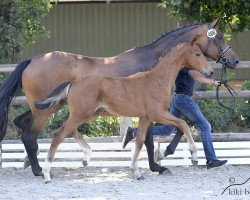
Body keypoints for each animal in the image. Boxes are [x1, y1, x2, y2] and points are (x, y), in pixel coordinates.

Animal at [0, 18, 239, 176]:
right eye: (218, 36)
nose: (234, 61)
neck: (154, 62)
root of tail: (32, 60)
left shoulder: (147, 112)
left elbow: (154, 136)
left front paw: (159, 161)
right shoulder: (150, 111)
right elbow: (150, 140)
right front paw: (158, 165)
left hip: (49, 106)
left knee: (24, 123)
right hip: (48, 109)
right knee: (31, 135)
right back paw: (40, 169)